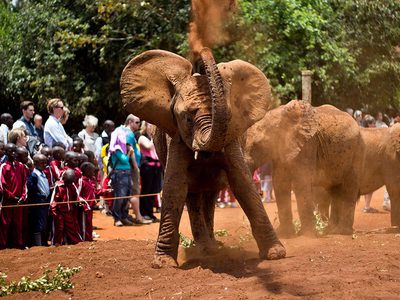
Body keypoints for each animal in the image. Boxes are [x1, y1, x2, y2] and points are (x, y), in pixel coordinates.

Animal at [120, 47, 286, 268]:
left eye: (230, 115)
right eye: (188, 119)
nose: (203, 49)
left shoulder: (230, 138)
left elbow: (243, 183)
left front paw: (276, 254)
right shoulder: (176, 136)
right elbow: (174, 187)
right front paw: (163, 263)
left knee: (209, 193)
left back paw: (213, 247)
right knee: (192, 193)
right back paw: (205, 248)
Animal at [244, 101, 366, 237]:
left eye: (257, 145)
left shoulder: (308, 145)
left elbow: (301, 183)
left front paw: (305, 235)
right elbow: (280, 183)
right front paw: (284, 234)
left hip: (357, 151)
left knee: (348, 188)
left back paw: (341, 232)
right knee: (335, 190)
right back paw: (330, 230)